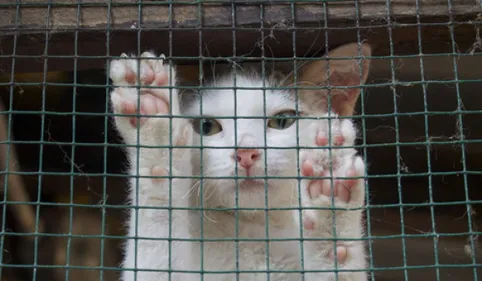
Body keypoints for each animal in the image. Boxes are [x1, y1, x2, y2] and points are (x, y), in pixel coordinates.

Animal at [108, 42, 372, 280]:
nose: (246, 152)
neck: (252, 234)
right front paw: (153, 116)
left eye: (282, 121)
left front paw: (330, 193)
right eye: (207, 126)